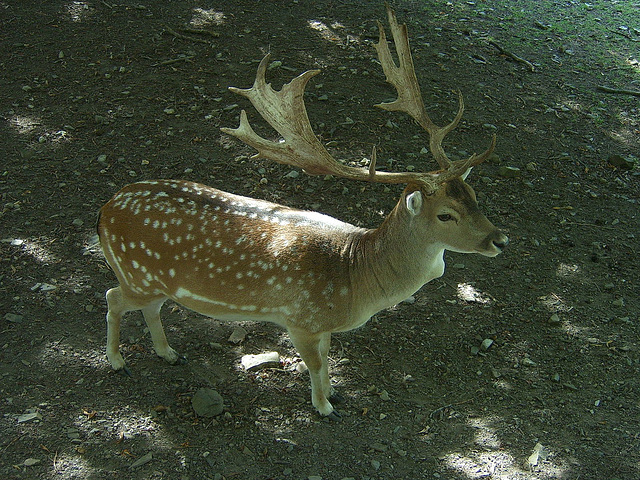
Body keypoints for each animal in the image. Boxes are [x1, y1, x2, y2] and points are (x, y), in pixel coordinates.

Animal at [97, 6, 508, 420]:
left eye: (474, 195)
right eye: (445, 215)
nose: (500, 239)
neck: (354, 279)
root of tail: (105, 211)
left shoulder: (321, 326)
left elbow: (327, 359)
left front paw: (335, 393)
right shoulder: (300, 320)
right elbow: (315, 362)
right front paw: (323, 406)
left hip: (154, 281)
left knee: (150, 308)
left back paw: (168, 353)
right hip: (136, 275)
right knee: (112, 297)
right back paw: (116, 360)